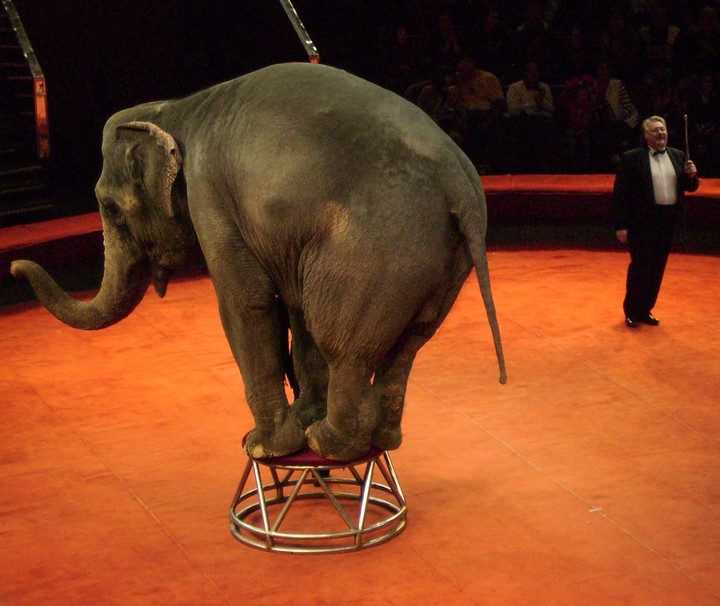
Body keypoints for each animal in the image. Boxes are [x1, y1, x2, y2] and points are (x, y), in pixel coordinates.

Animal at [11, 62, 506, 462]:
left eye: (109, 207)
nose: (15, 265)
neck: (178, 107)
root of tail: (462, 187)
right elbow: (295, 311)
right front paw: (299, 420)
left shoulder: (209, 191)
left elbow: (245, 304)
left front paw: (266, 446)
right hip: (441, 263)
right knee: (406, 345)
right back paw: (379, 439)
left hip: (377, 252)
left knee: (344, 345)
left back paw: (329, 444)